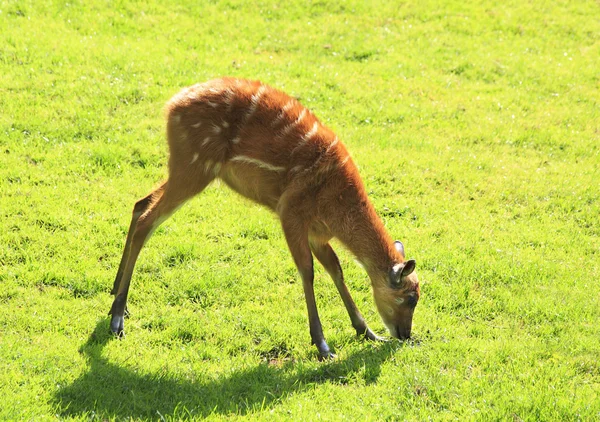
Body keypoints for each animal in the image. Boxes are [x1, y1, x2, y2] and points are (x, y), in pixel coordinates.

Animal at [111, 76, 422, 360]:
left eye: (417, 296)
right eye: (409, 298)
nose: (405, 334)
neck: (337, 207)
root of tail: (172, 104)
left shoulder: (317, 233)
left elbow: (336, 269)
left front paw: (368, 332)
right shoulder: (291, 211)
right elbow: (307, 271)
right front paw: (322, 346)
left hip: (186, 168)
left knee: (140, 202)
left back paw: (116, 294)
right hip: (193, 165)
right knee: (147, 220)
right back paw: (117, 319)